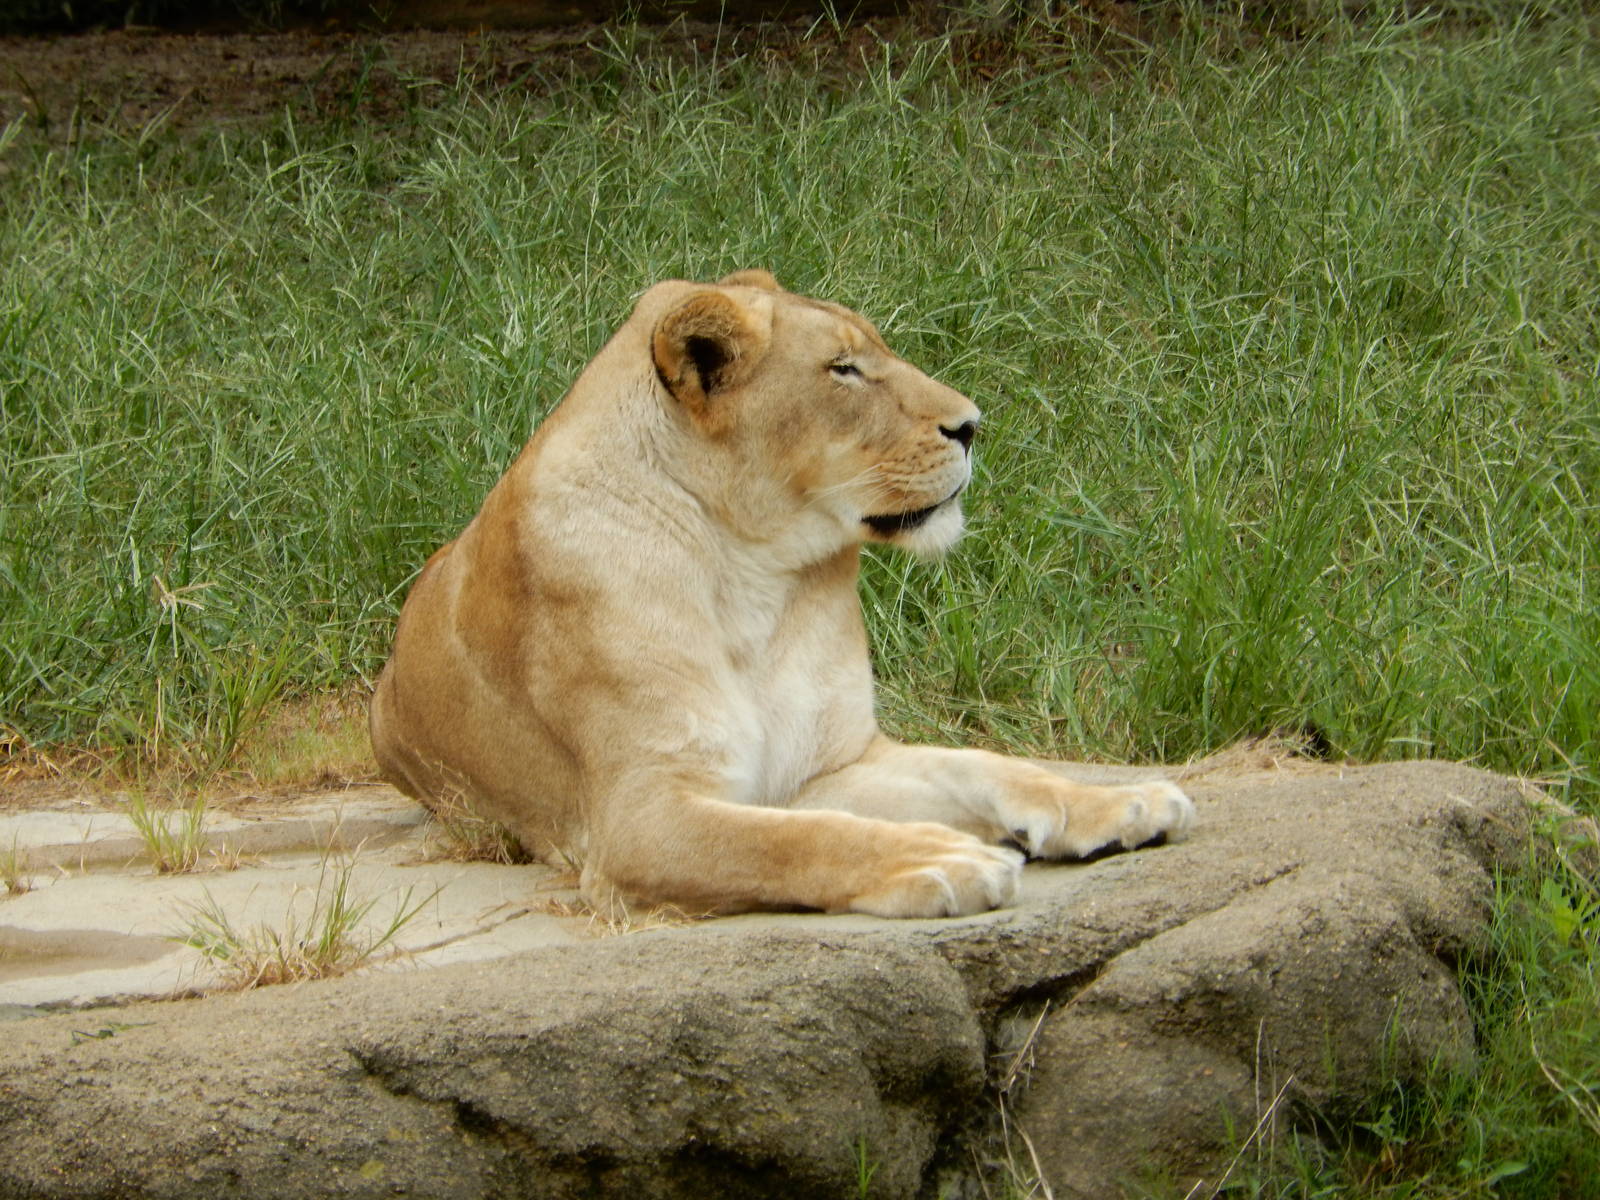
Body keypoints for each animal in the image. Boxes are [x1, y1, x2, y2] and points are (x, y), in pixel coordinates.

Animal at [370, 270, 1193, 918]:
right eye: (843, 370)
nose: (972, 426)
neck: (758, 575)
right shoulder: (638, 819)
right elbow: (795, 838)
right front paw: (937, 858)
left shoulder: (826, 766)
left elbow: (983, 765)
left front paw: (1119, 802)